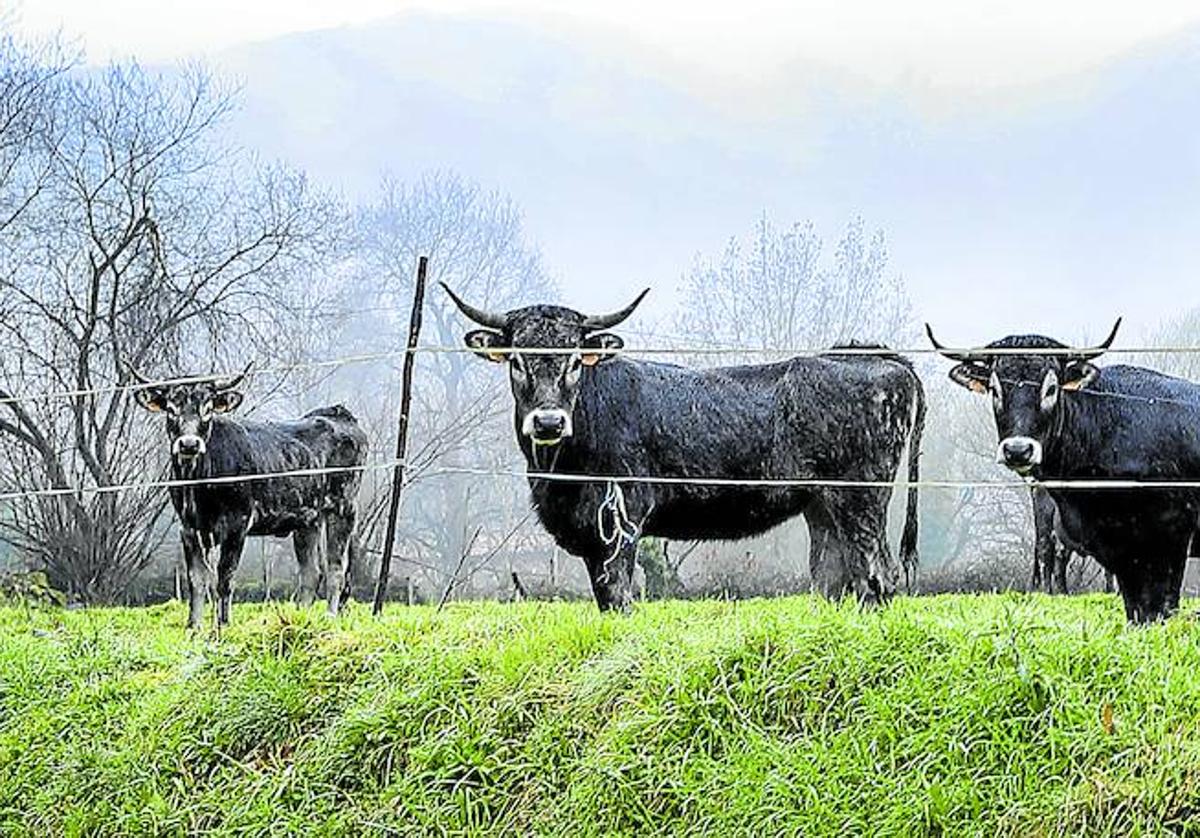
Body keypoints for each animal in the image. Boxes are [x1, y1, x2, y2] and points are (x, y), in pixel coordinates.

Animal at [132, 362, 364, 624]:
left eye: (208, 409)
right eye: (171, 409)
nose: (189, 444)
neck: (198, 484)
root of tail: (338, 414)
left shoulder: (237, 525)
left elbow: (224, 579)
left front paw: (222, 625)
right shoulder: (189, 528)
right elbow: (196, 581)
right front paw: (194, 626)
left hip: (343, 508)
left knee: (336, 569)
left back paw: (329, 618)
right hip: (307, 519)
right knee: (312, 573)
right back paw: (302, 620)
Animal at [446, 284, 921, 609]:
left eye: (576, 360)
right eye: (515, 359)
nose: (548, 421)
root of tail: (874, 355)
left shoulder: (622, 523)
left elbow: (618, 595)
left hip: (861, 502)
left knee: (877, 575)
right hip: (822, 509)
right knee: (833, 579)